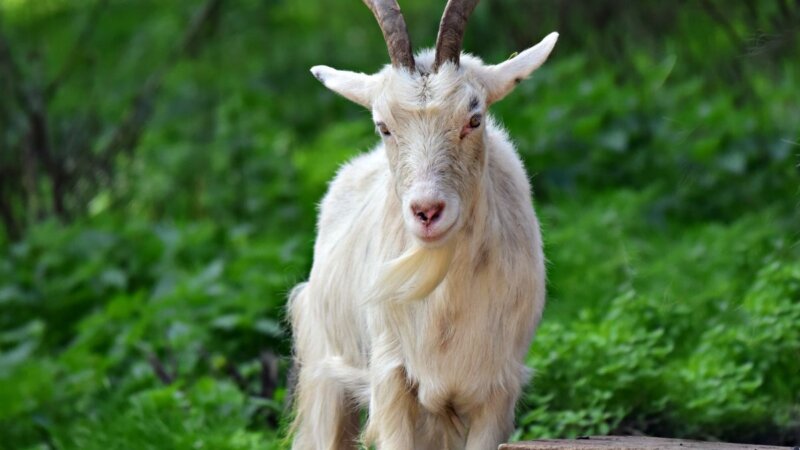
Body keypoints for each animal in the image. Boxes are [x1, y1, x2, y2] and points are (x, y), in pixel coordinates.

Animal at [289, 0, 557, 448]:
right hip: (326, 369)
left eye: (474, 118)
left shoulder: (496, 391)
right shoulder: (391, 380)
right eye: (383, 126)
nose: (427, 211)